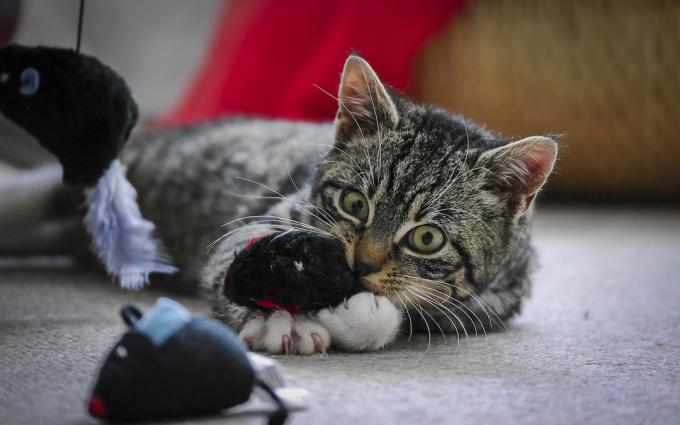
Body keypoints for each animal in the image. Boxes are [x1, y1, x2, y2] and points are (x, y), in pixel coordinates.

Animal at [123, 54, 556, 352]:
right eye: (355, 203)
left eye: (427, 238)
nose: (361, 264)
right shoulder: (275, 216)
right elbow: (243, 260)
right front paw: (276, 317)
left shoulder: (488, 303)